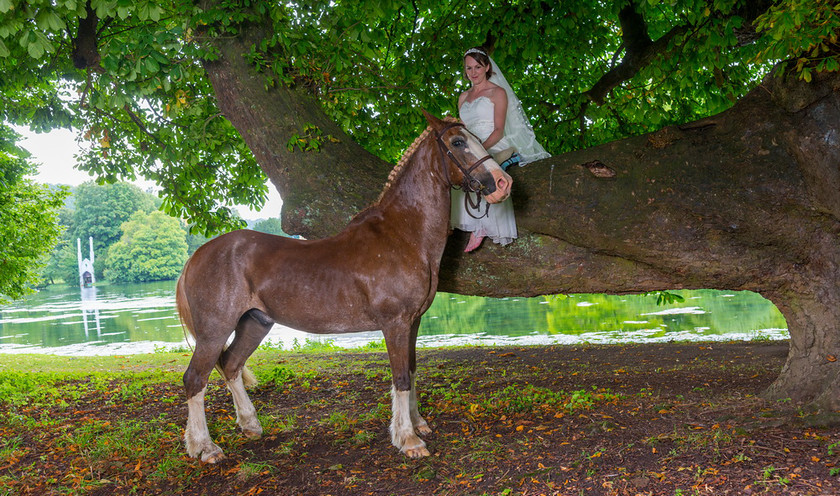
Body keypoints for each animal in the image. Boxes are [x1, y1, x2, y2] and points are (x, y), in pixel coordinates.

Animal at [177, 111, 512, 462]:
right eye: (458, 142)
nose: (502, 183)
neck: (403, 234)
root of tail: (196, 256)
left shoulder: (414, 321)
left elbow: (412, 368)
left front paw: (418, 424)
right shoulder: (395, 322)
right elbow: (400, 376)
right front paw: (408, 439)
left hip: (255, 323)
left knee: (231, 365)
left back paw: (250, 425)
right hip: (215, 329)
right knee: (195, 379)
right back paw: (205, 447)